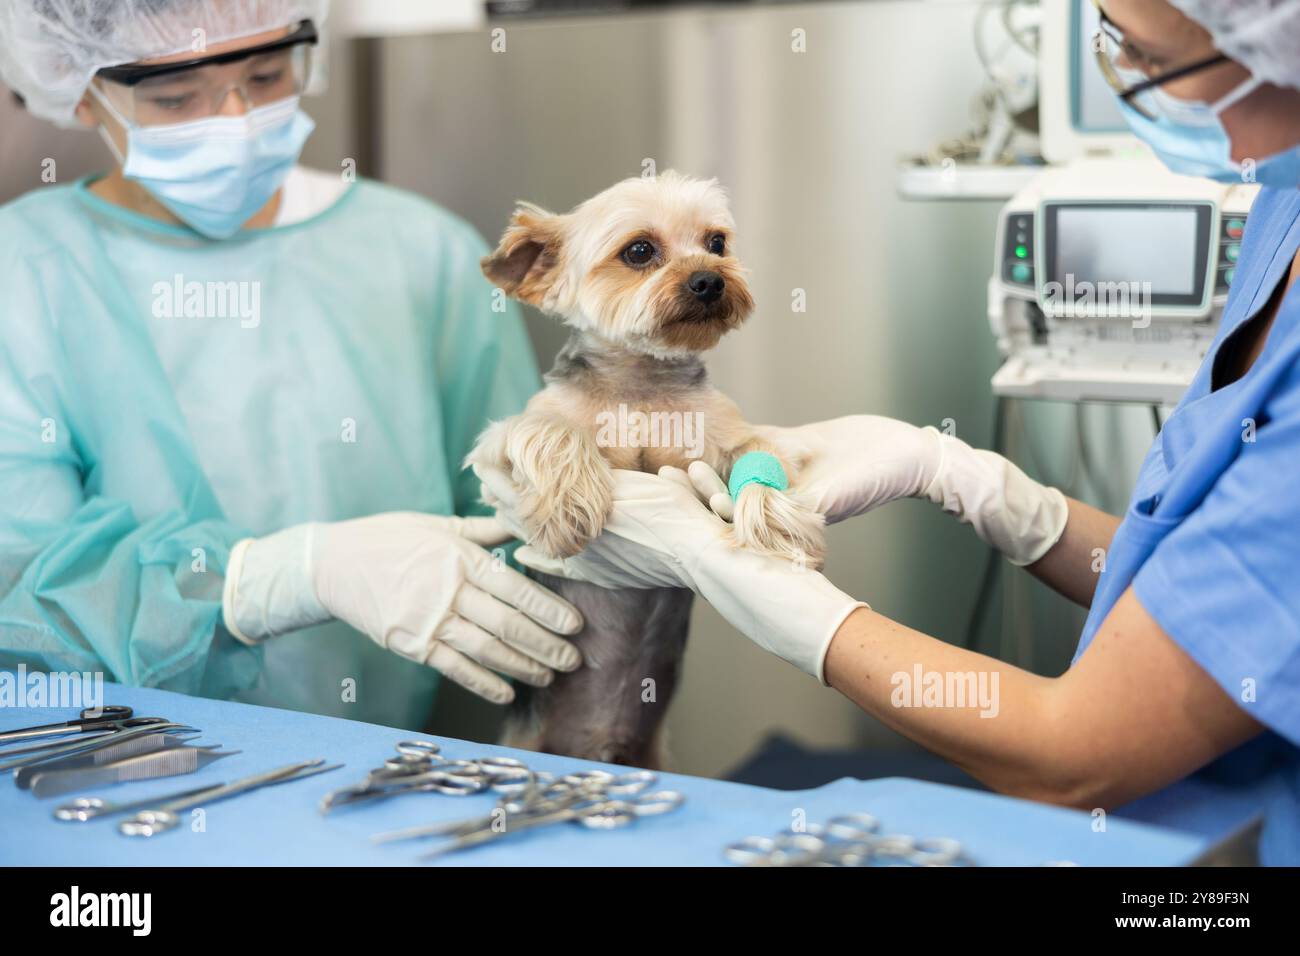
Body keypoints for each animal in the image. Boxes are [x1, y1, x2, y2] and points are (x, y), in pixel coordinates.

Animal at [473, 171, 826, 770]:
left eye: (716, 243)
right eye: (639, 251)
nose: (710, 280)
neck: (639, 383)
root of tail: (597, 748)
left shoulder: (723, 435)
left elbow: (760, 453)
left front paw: (775, 523)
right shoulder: (503, 436)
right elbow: (551, 432)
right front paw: (568, 509)